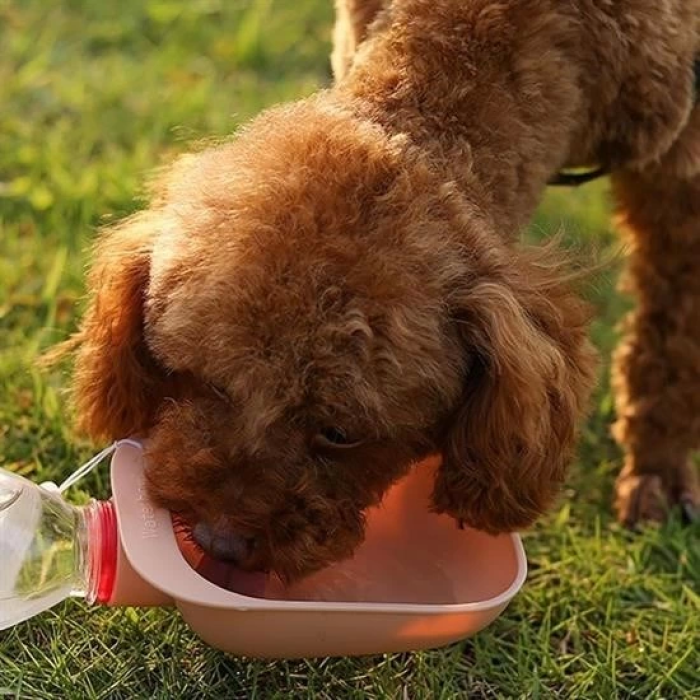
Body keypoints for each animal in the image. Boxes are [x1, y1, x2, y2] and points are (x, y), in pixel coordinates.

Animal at [63, 0, 696, 580]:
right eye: (207, 381)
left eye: (341, 434)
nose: (219, 543)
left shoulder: (680, 168)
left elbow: (671, 338)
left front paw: (657, 471)